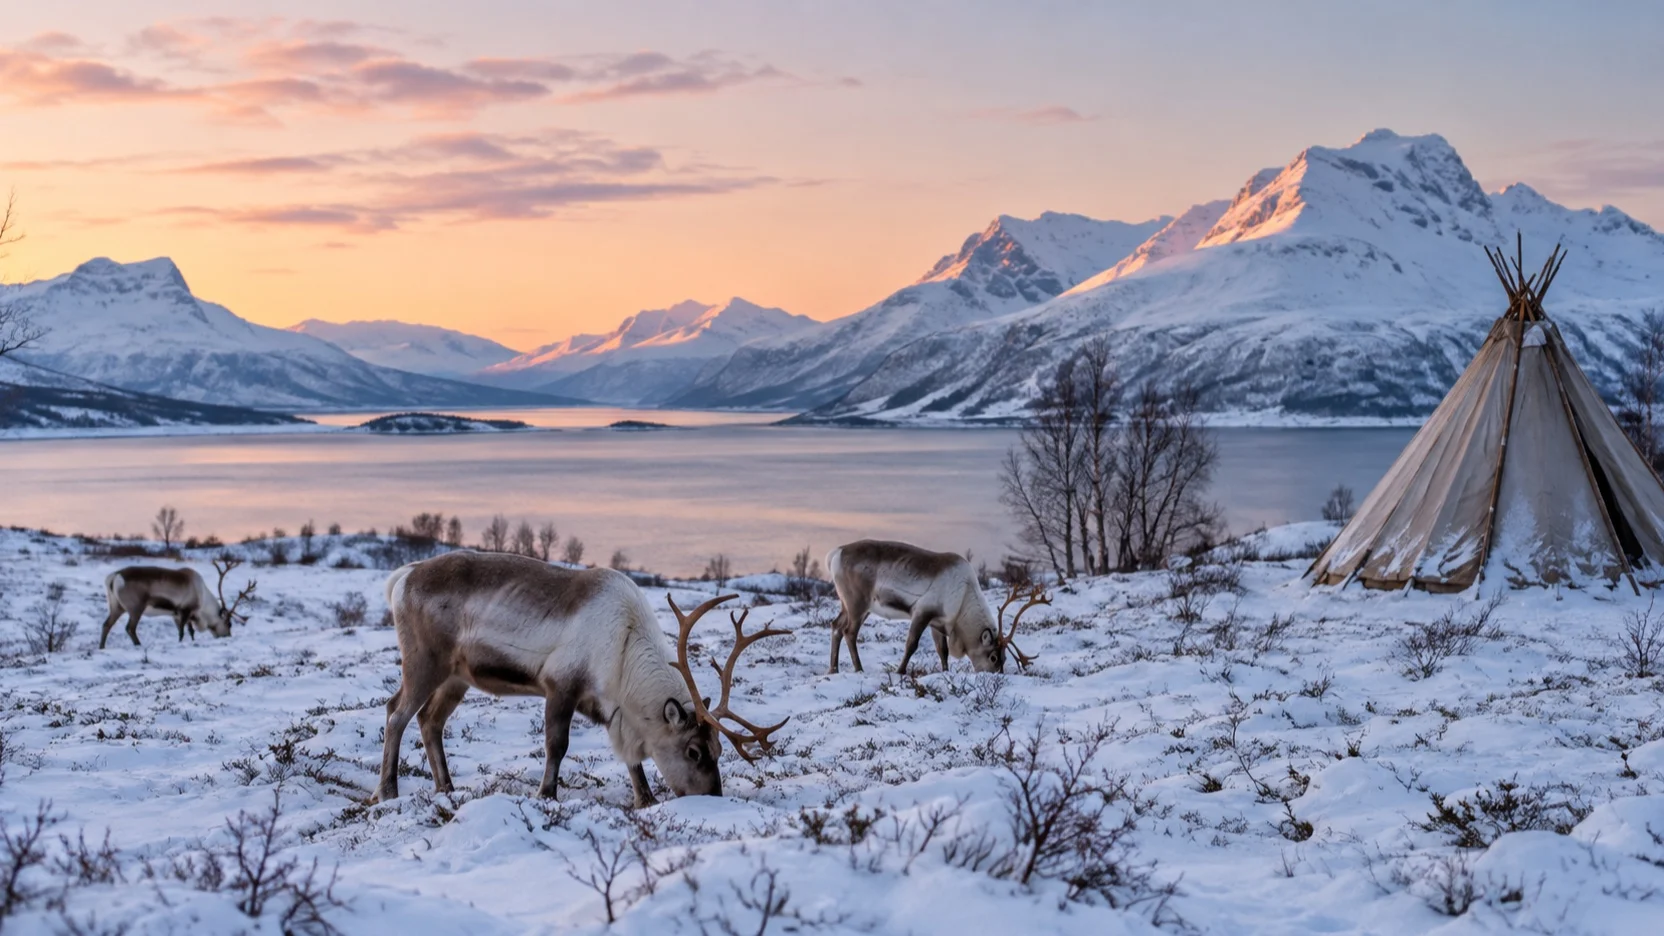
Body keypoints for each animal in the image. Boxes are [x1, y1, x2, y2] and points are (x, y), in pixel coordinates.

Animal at [98, 558, 256, 649]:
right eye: (229, 624)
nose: (228, 636)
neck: (202, 596)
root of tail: (114, 576)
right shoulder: (185, 611)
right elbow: (182, 632)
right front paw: (181, 643)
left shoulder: (177, 614)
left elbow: (190, 631)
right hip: (136, 608)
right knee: (130, 628)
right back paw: (139, 645)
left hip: (116, 606)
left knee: (106, 624)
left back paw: (102, 647)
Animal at [376, 550, 790, 807]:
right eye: (694, 751)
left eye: (718, 750)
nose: (712, 798)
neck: (624, 647)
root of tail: (403, 576)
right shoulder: (561, 685)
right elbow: (556, 745)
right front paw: (546, 794)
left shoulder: (606, 705)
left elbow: (630, 757)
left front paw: (645, 799)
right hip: (425, 661)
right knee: (396, 712)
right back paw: (387, 791)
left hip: (456, 677)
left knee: (429, 720)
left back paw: (445, 788)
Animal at [825, 539, 1048, 676]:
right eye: (993, 657)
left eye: (1004, 658)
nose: (996, 676)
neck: (963, 597)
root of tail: (835, 553)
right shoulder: (923, 612)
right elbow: (912, 644)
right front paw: (900, 672)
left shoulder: (938, 622)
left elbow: (943, 651)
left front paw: (945, 672)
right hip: (857, 603)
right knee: (849, 632)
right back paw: (859, 669)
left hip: (852, 605)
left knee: (836, 626)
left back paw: (833, 669)